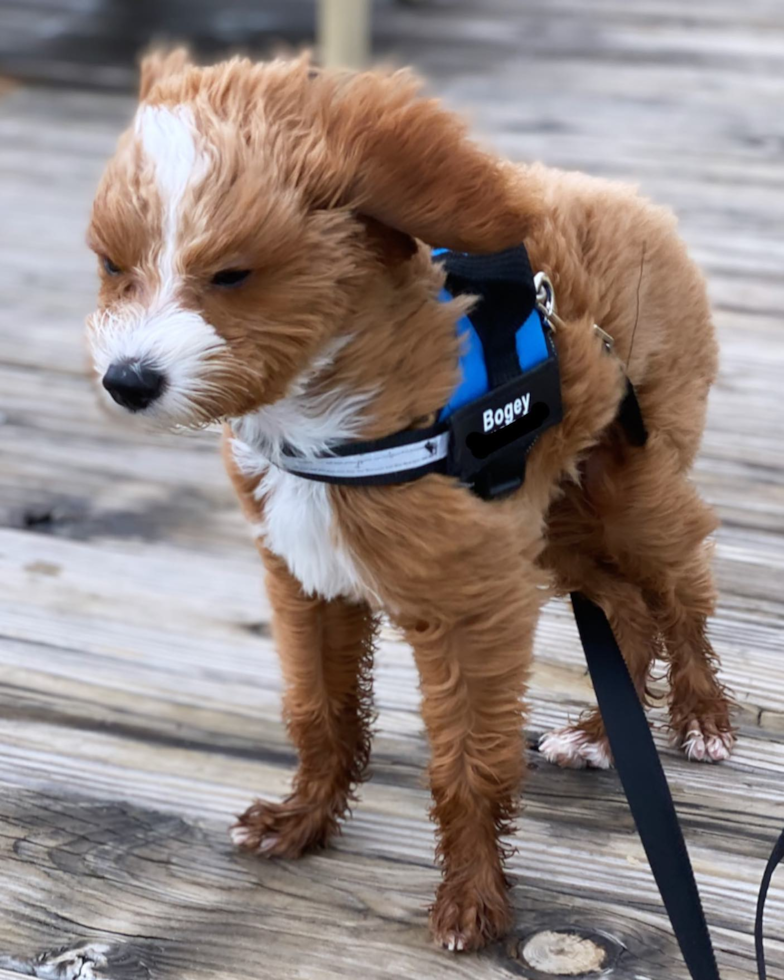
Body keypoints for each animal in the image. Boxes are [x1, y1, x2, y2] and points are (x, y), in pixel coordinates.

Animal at [86, 49, 736, 952]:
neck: (319, 419)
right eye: (114, 266)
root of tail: (632, 204)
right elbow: (319, 711)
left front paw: (473, 900)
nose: (129, 381)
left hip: (627, 491)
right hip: (556, 518)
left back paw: (703, 716)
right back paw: (601, 733)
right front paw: (302, 821)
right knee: (627, 611)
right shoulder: (309, 582)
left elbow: (469, 761)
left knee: (681, 590)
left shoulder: (474, 603)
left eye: (233, 276)